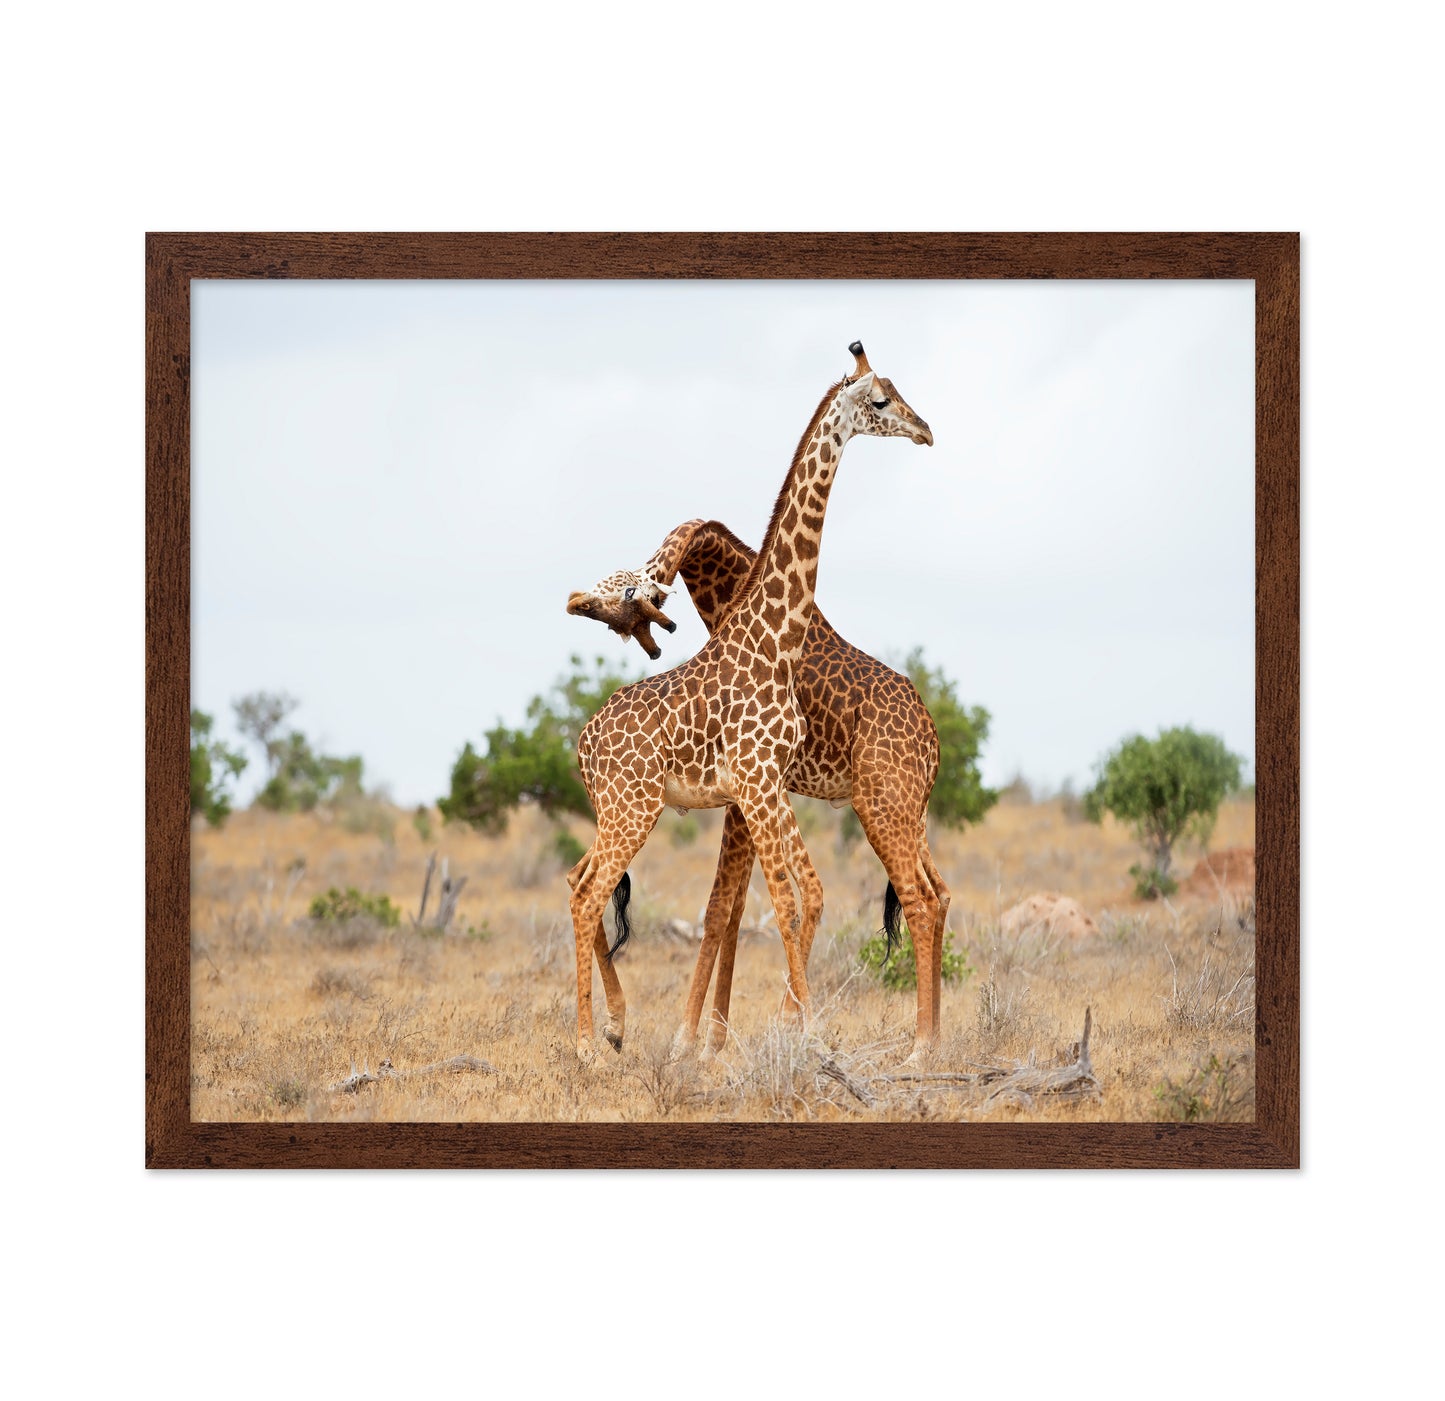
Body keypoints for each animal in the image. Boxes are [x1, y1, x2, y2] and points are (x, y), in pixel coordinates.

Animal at [565, 343, 932, 1060]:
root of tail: (583, 742)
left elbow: (795, 896)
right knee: (588, 892)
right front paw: (794, 1033)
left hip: (629, 810)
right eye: (880, 400)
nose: (926, 430)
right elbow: (782, 903)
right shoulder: (758, 784)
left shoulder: (765, 786)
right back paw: (591, 1041)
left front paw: (774, 1032)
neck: (774, 638)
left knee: (579, 882)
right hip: (634, 809)